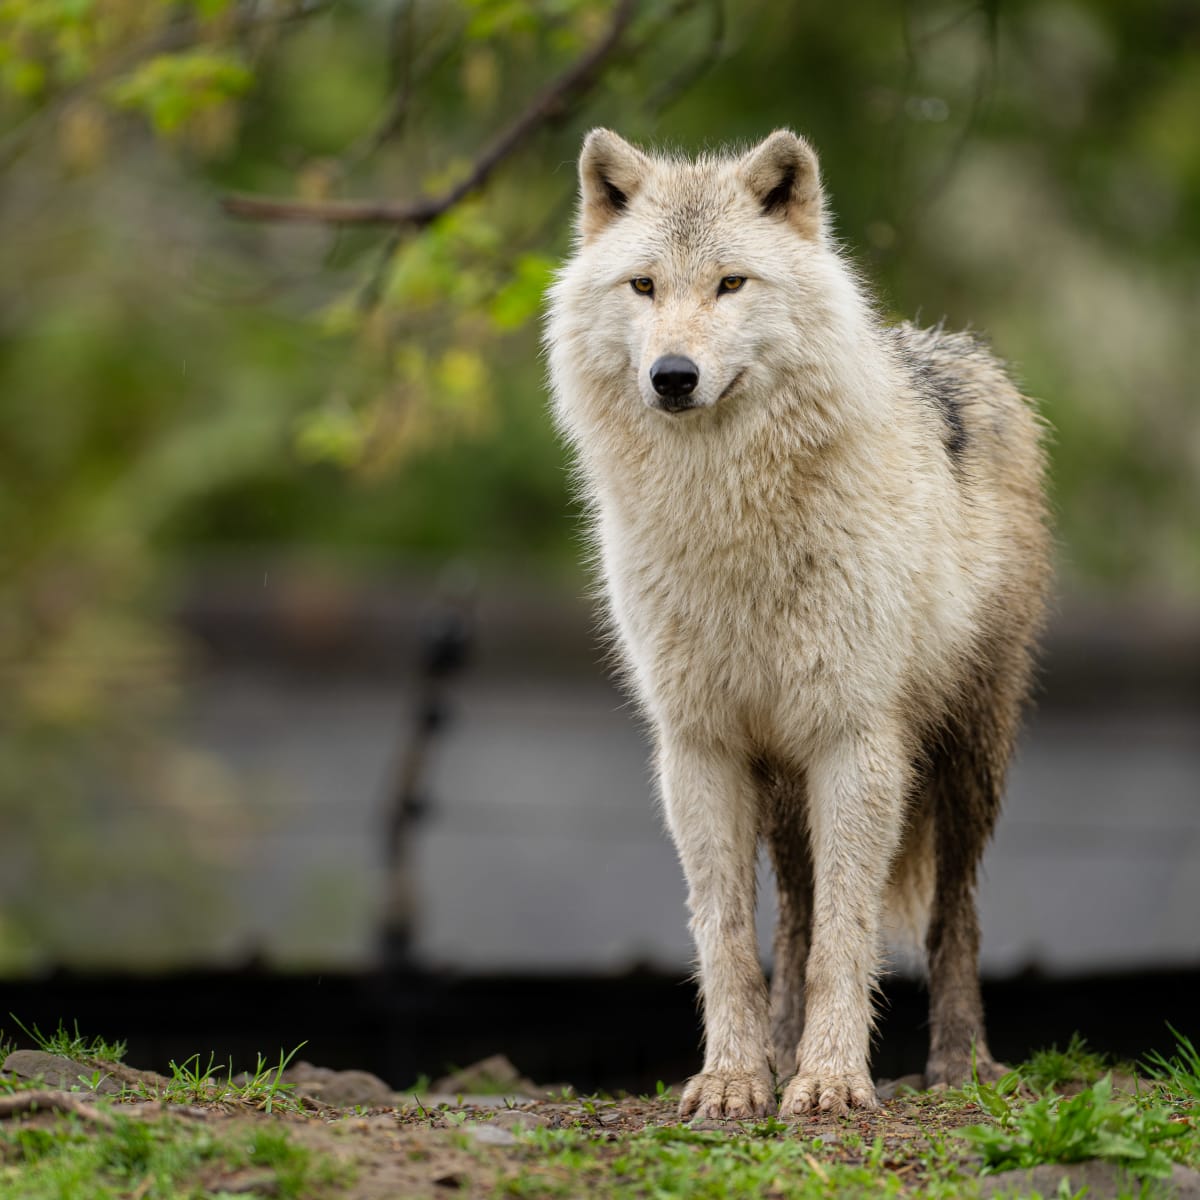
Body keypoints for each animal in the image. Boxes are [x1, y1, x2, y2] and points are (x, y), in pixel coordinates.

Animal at [545, 128, 1051, 1120]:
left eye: (731, 284)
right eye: (644, 286)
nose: (672, 377)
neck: (727, 516)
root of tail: (954, 351)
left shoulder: (856, 741)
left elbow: (850, 939)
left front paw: (830, 1080)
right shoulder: (699, 746)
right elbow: (731, 940)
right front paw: (737, 1079)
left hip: (966, 760)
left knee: (953, 917)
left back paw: (960, 1065)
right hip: (783, 785)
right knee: (796, 917)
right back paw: (778, 1054)